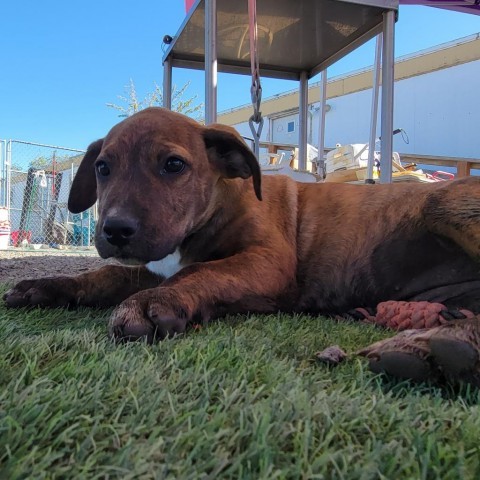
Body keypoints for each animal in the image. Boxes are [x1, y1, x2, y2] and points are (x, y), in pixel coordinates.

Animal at [3, 108, 480, 342]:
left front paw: (151, 303)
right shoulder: (154, 263)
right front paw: (48, 286)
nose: (116, 231)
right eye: (103, 168)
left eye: (173, 165)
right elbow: (101, 274)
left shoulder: (268, 261)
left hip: (445, 203)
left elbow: (202, 271)